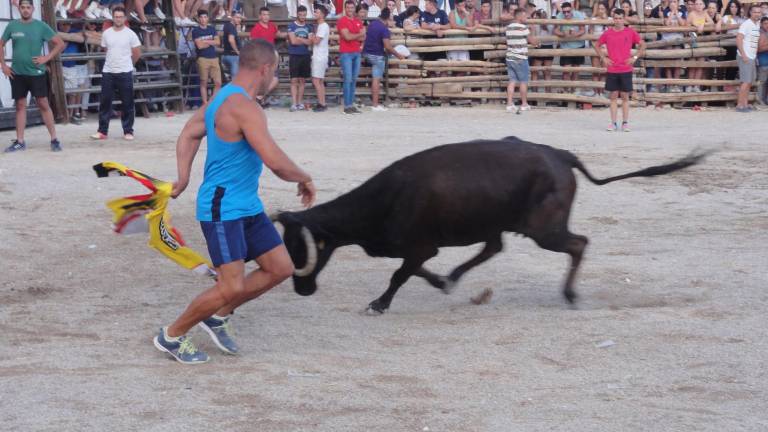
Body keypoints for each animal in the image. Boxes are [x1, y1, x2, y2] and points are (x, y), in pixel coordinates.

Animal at [272, 137, 704, 312]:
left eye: (302, 248)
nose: (302, 289)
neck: (386, 197)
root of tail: (561, 156)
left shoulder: (419, 246)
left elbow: (400, 274)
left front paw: (379, 304)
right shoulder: (417, 248)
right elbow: (416, 271)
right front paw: (442, 282)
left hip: (545, 230)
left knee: (578, 243)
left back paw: (569, 296)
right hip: (501, 222)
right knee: (495, 247)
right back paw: (457, 279)